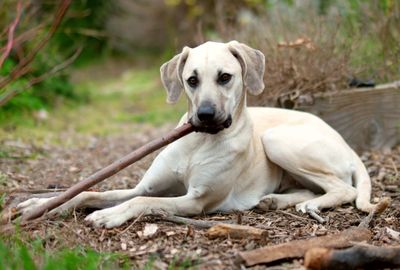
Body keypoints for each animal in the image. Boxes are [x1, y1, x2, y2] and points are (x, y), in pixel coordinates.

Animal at [18, 40, 376, 228]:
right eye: (191, 80)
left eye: (225, 77)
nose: (204, 115)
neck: (199, 141)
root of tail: (345, 143)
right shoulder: (145, 185)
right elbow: (90, 193)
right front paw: (41, 203)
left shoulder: (197, 201)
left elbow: (142, 202)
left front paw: (109, 214)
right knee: (310, 188)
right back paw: (275, 200)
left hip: (277, 140)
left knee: (342, 188)